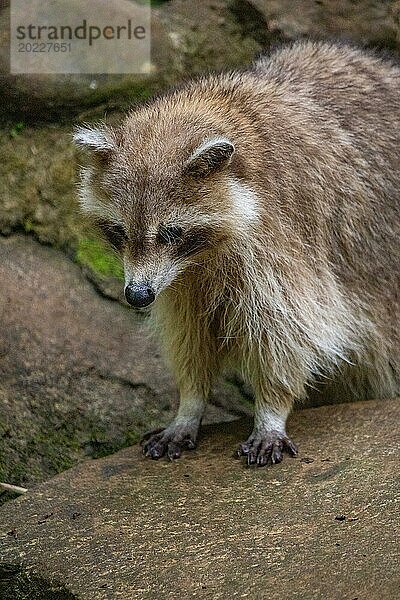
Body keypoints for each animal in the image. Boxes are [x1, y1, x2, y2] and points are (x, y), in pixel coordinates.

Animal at [74, 41, 400, 468]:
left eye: (171, 232)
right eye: (119, 232)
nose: (137, 296)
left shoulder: (285, 237)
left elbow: (290, 329)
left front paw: (272, 409)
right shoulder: (180, 281)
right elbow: (189, 333)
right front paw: (189, 403)